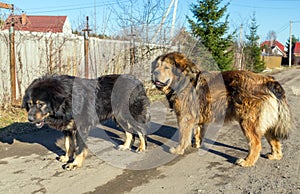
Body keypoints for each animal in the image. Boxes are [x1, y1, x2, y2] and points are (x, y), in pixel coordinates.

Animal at [21, 74, 150, 170]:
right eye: (30, 104)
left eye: (41, 104)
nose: (30, 119)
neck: (66, 100)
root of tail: (138, 81)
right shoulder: (68, 128)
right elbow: (68, 145)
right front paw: (67, 158)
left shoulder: (81, 128)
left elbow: (79, 148)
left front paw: (74, 164)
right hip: (119, 116)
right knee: (129, 132)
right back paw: (126, 146)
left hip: (129, 114)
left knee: (141, 130)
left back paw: (142, 147)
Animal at [152, 51, 290, 167]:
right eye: (156, 66)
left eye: (166, 67)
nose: (154, 73)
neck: (184, 80)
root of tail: (267, 80)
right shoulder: (199, 118)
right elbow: (198, 133)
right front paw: (196, 145)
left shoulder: (185, 118)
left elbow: (182, 137)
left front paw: (178, 150)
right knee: (274, 140)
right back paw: (275, 155)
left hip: (248, 121)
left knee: (256, 143)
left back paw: (247, 161)